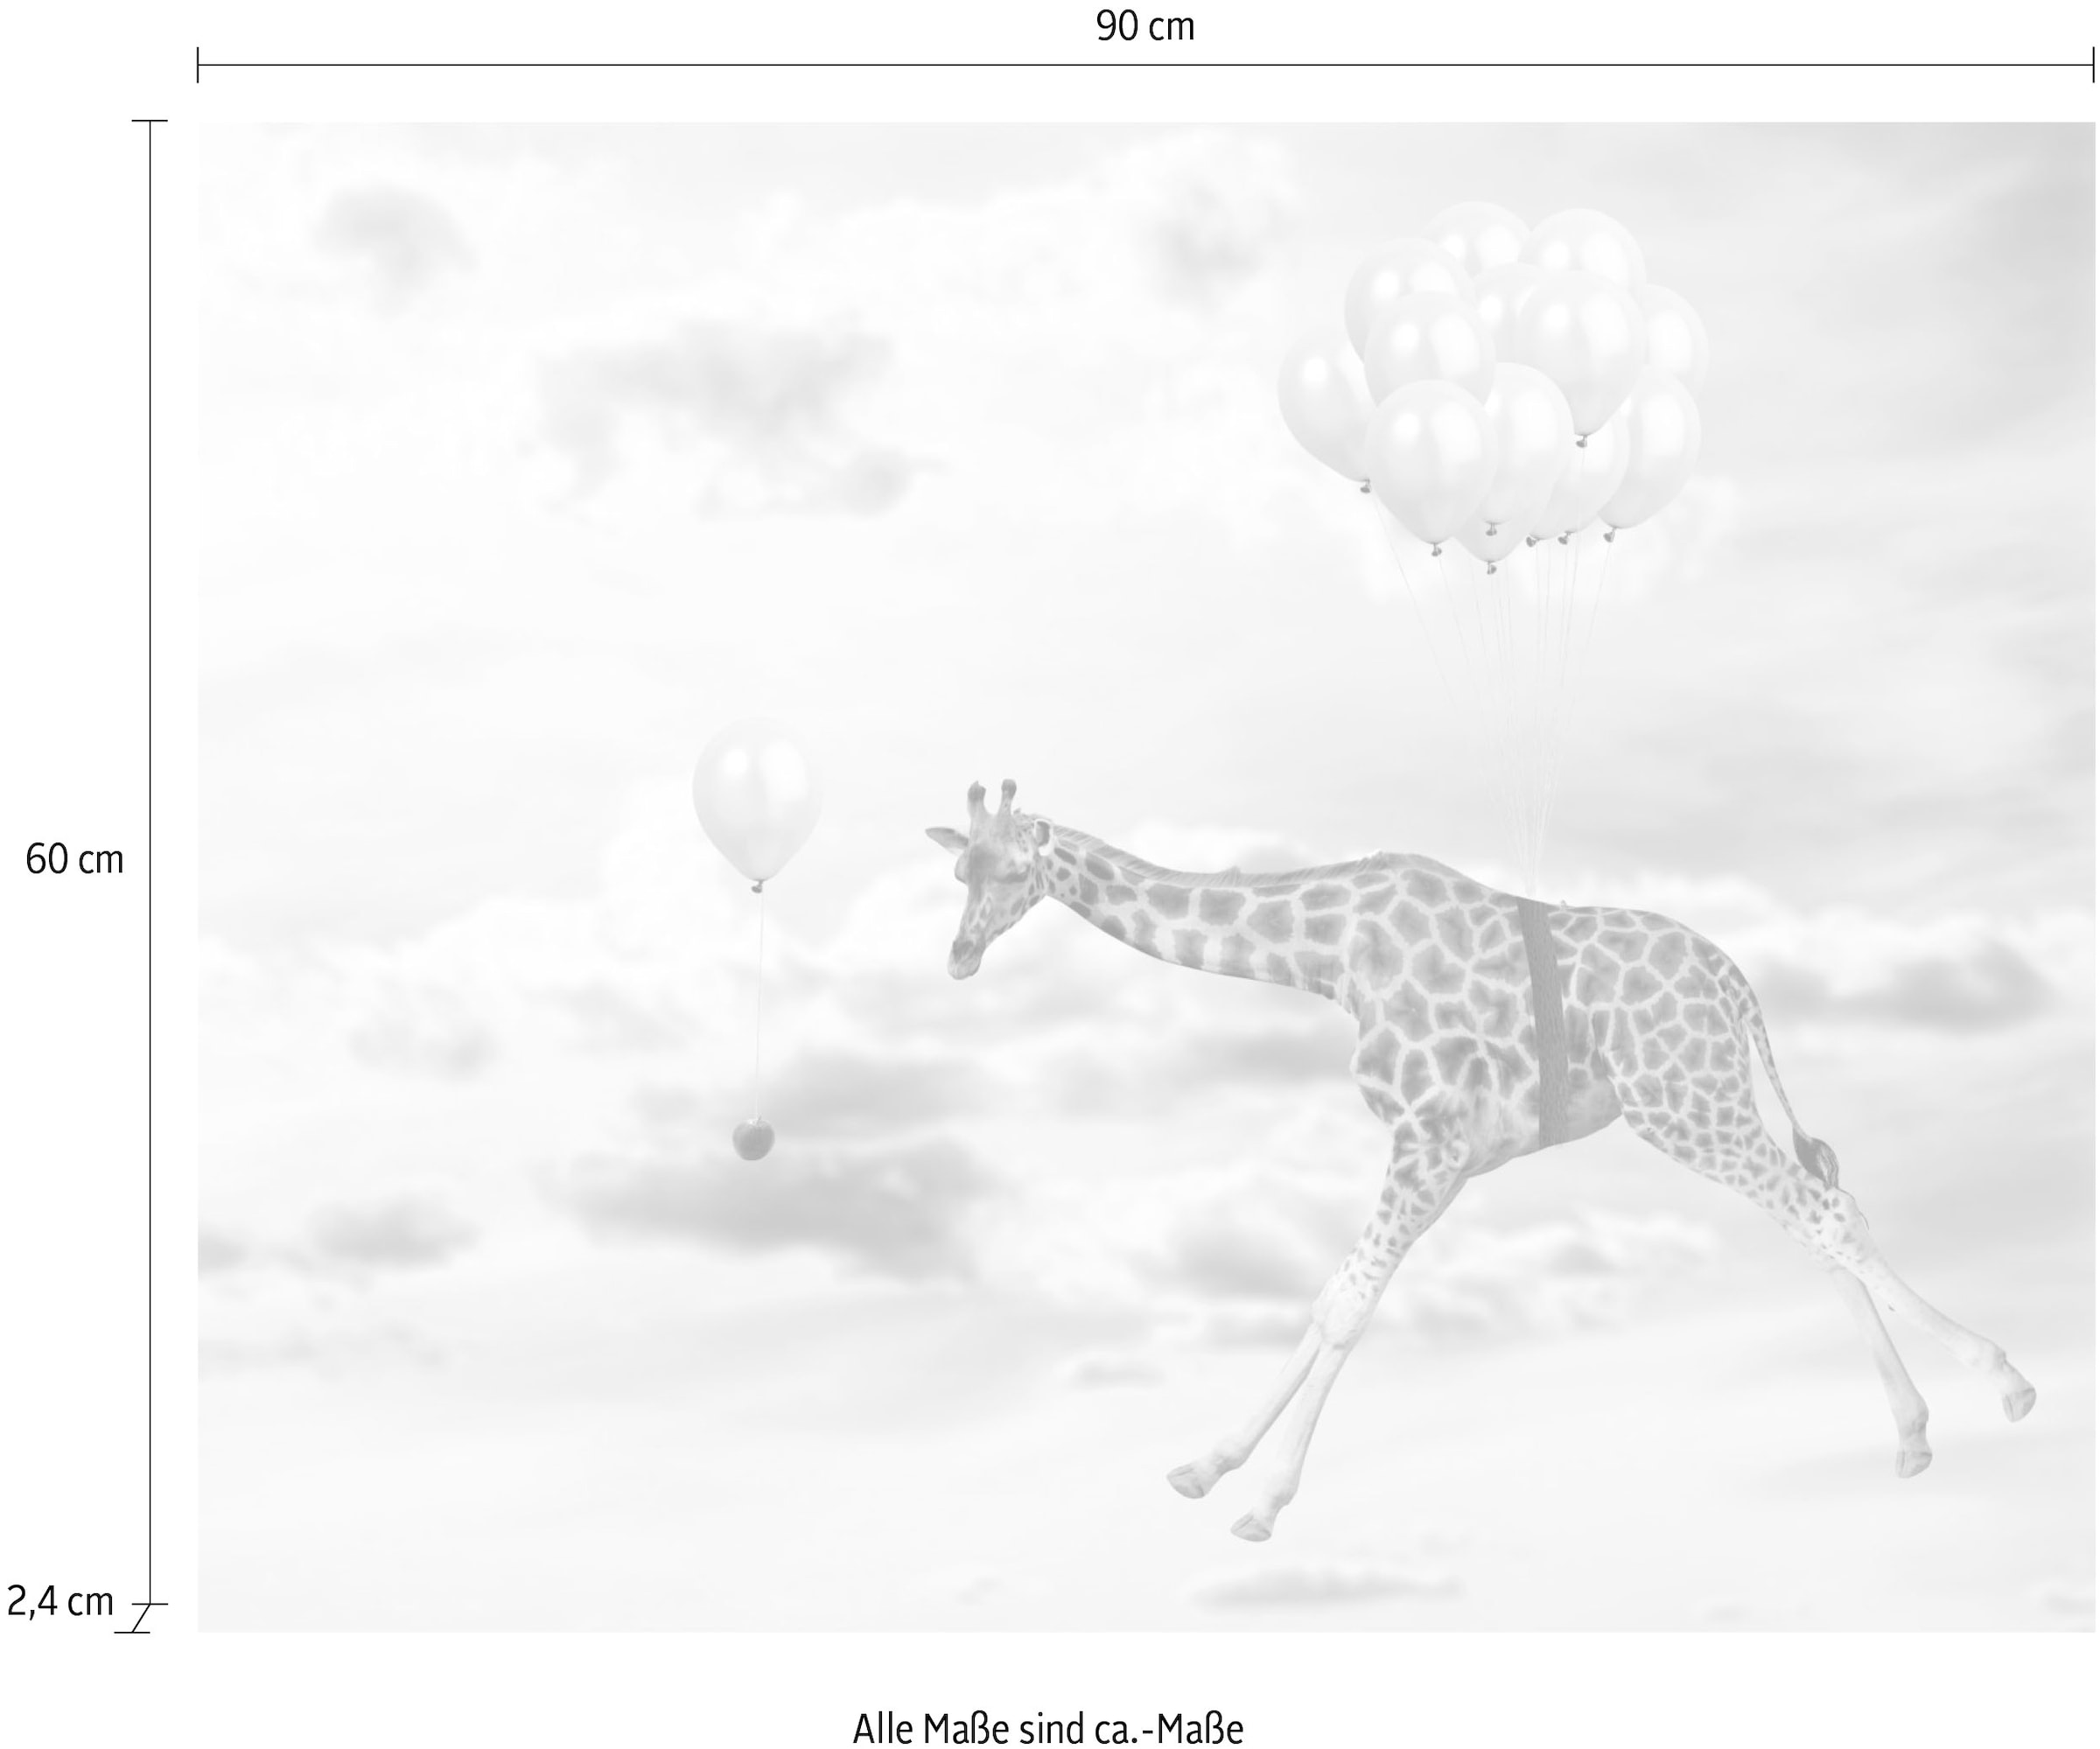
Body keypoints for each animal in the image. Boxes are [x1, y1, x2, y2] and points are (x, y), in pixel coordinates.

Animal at [927, 780, 2037, 1542]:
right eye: (958, 870)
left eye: (1014, 871)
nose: (959, 957)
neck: (1330, 954)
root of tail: (1738, 983)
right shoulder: (1452, 1154)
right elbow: (1334, 1297)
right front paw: (1209, 1465)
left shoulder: (1427, 1134)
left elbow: (1348, 1304)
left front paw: (1264, 1500)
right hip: (1701, 1101)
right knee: (1815, 1217)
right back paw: (1911, 1434)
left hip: (1684, 1101)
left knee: (1829, 1217)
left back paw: (2007, 1383)